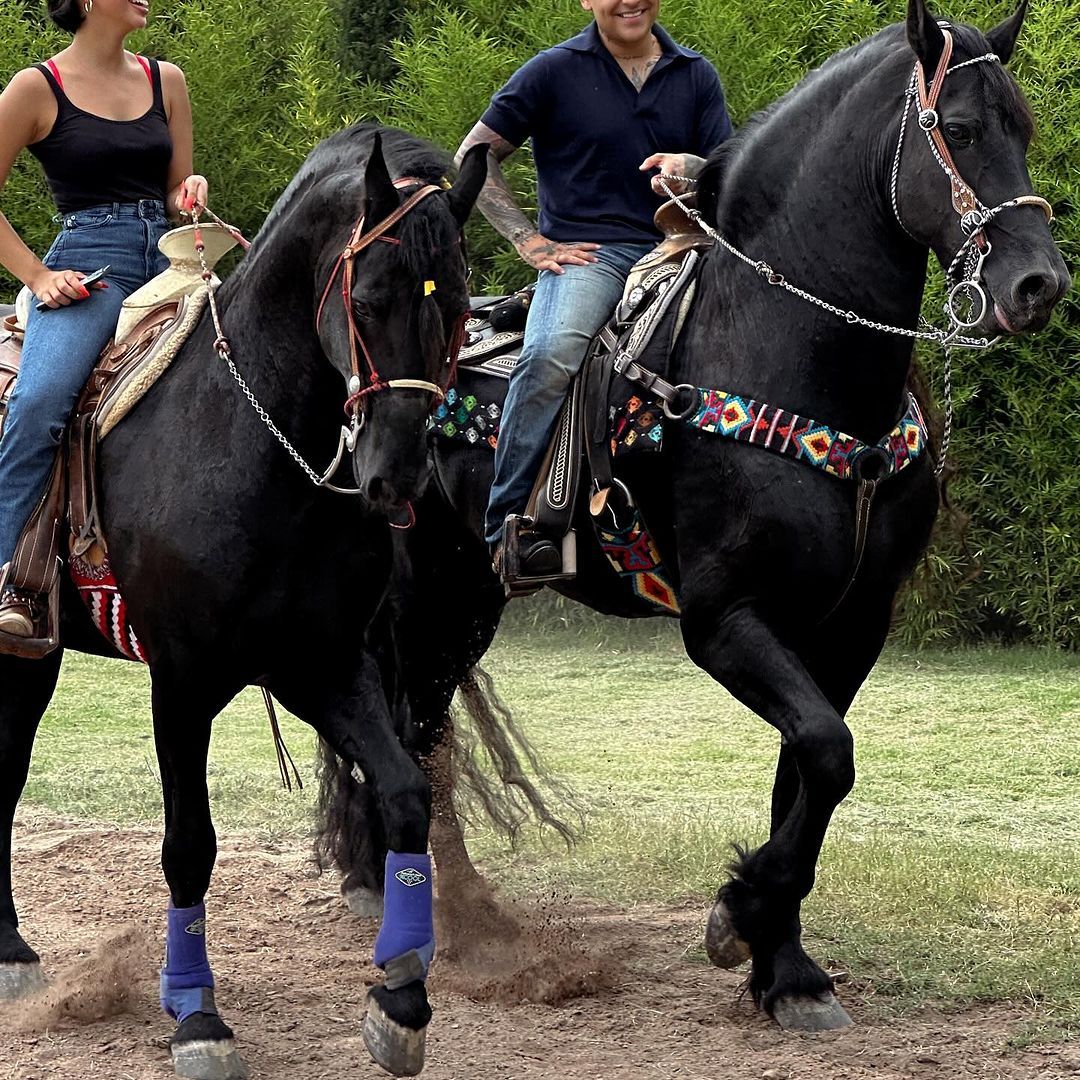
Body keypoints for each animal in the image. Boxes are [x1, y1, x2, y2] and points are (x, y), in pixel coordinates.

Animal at [0, 122, 486, 1075]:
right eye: (367, 299)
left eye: (455, 309)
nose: (397, 476)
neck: (248, 440)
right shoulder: (182, 682)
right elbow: (190, 844)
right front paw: (196, 1013)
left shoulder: (324, 665)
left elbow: (405, 794)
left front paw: (401, 999)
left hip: (31, 658)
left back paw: (10, 948)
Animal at [315, 0, 1071, 1028]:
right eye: (956, 129)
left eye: (1023, 129)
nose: (1039, 285)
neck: (788, 353)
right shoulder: (723, 619)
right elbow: (829, 753)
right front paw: (739, 914)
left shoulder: (850, 626)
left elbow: (809, 773)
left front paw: (785, 968)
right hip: (416, 595)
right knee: (395, 724)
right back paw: (410, 903)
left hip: (469, 600)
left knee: (421, 728)